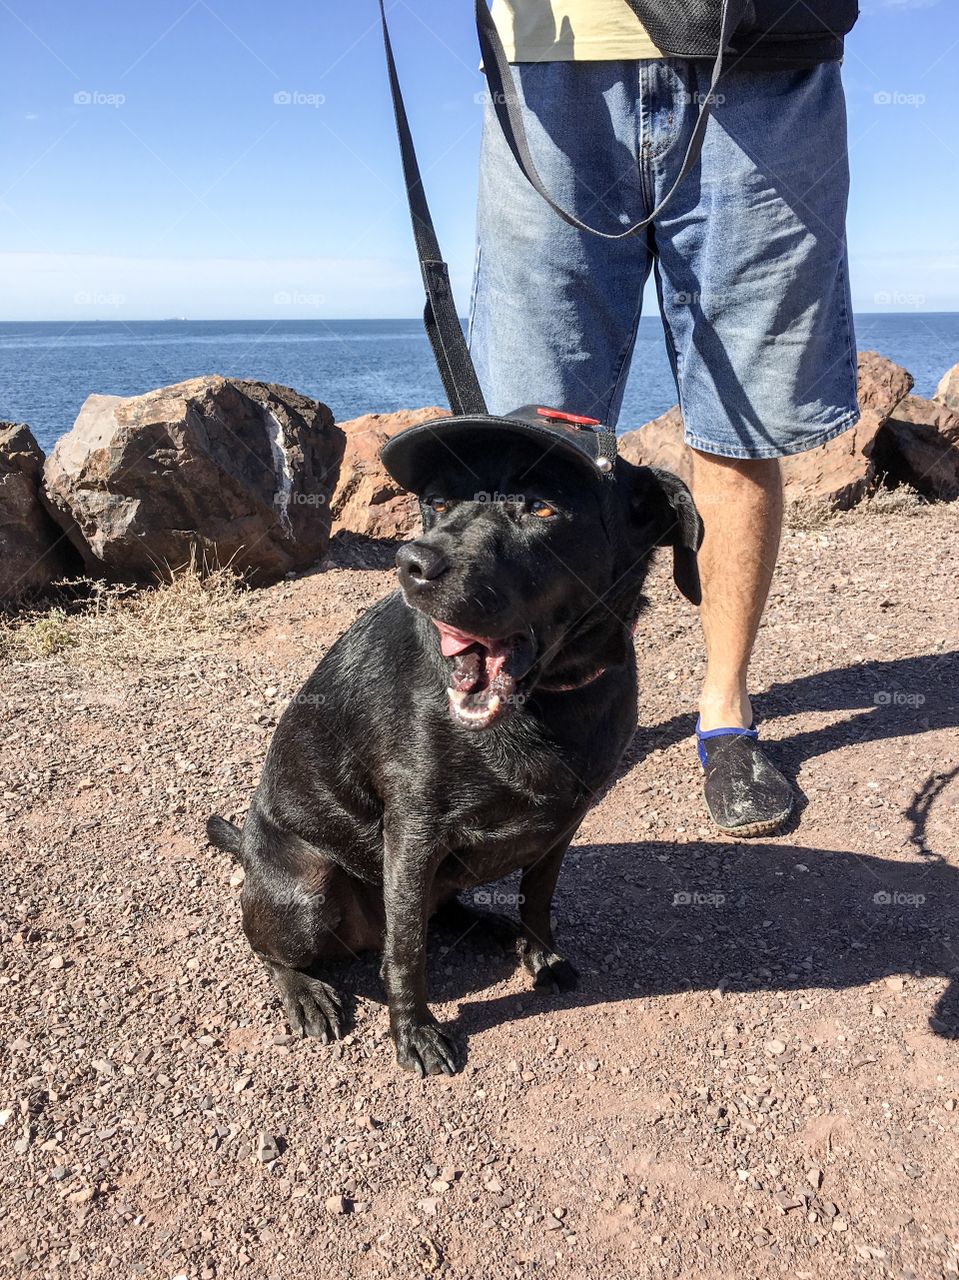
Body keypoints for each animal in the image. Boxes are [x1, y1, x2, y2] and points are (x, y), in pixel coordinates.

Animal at [207, 424, 701, 1075]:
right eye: (438, 502)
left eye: (540, 507)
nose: (410, 564)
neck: (550, 701)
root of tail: (247, 845)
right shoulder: (413, 833)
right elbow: (406, 950)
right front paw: (414, 1031)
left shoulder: (563, 824)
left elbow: (537, 900)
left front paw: (541, 955)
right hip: (309, 887)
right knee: (274, 946)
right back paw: (305, 991)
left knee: (438, 909)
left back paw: (487, 924)